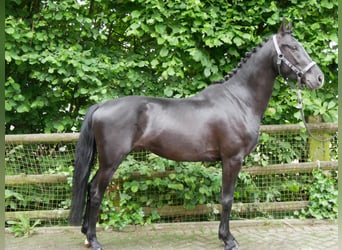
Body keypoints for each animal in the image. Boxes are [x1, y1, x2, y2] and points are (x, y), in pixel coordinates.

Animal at [69, 20, 324, 250]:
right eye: (292, 47)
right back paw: (94, 240)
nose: (319, 78)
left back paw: (86, 235)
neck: (239, 100)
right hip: (111, 161)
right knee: (95, 191)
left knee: (90, 188)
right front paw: (228, 240)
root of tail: (101, 105)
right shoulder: (232, 159)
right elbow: (227, 199)